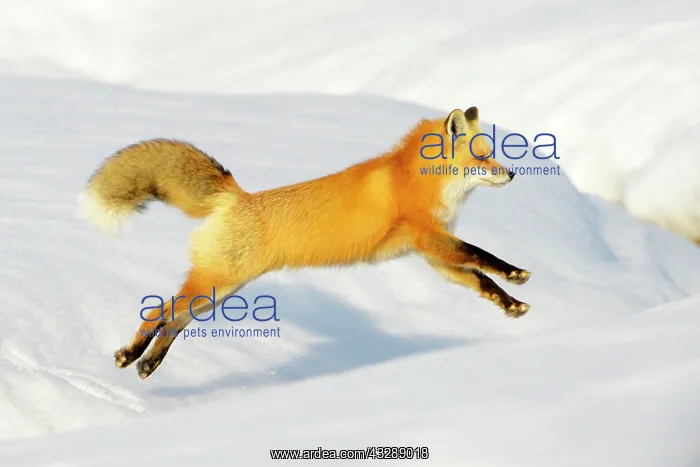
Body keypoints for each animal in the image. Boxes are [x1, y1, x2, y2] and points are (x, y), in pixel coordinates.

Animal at [80, 106, 531, 380]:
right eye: (482, 157)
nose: (511, 174)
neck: (419, 183)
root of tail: (237, 196)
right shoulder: (431, 238)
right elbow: (482, 255)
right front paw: (516, 273)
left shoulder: (432, 256)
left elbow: (480, 280)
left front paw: (511, 305)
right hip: (216, 284)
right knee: (157, 311)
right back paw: (130, 354)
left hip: (219, 292)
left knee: (173, 321)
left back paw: (146, 362)